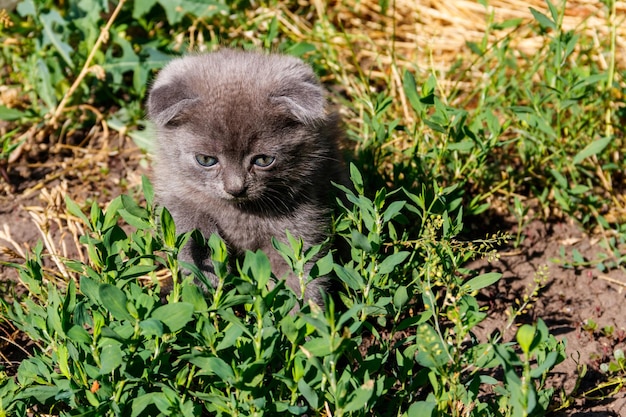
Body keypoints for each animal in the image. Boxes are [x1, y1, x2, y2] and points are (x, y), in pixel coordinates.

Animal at [147, 48, 346, 304]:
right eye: (206, 160)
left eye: (263, 160)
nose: (235, 188)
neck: (238, 214)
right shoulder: (175, 193)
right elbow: (191, 226)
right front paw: (206, 276)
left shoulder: (302, 216)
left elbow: (300, 266)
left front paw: (305, 307)